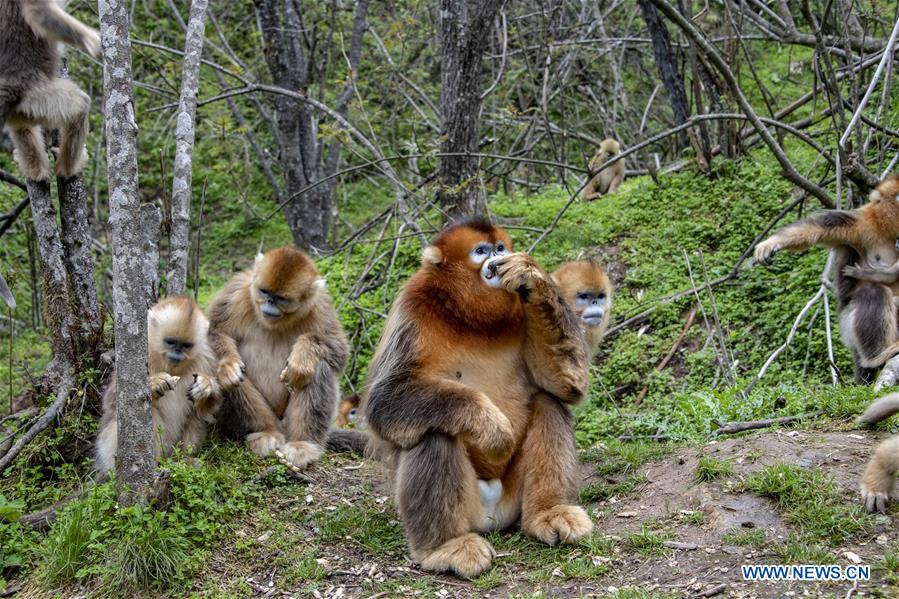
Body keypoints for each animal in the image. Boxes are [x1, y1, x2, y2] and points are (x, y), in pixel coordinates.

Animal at [0, 0, 100, 181]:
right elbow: (37, 10)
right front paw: (93, 42)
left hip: (23, 109)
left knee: (21, 127)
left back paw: (37, 172)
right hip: (41, 99)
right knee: (80, 107)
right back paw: (68, 169)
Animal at [95, 297, 221, 475]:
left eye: (186, 345)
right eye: (170, 342)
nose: (177, 354)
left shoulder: (207, 360)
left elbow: (210, 410)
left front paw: (205, 387)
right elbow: (110, 403)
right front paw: (154, 383)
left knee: (195, 416)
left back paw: (182, 462)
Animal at [208, 247, 349, 470]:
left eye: (281, 298)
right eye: (265, 292)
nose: (269, 303)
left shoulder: (320, 305)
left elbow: (340, 351)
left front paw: (302, 358)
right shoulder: (237, 290)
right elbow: (212, 332)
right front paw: (228, 365)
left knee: (319, 367)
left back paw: (303, 444)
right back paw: (266, 431)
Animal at [362, 219, 592, 578]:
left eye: (500, 249)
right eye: (481, 251)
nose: (495, 260)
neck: (469, 315)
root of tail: (490, 511)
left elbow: (564, 385)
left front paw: (530, 276)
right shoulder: (412, 306)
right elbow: (384, 400)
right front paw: (491, 428)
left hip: (512, 499)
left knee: (548, 403)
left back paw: (549, 512)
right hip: (469, 505)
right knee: (435, 431)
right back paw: (444, 546)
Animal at [754, 176, 899, 384]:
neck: (888, 232)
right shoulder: (862, 223)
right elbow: (816, 228)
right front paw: (770, 243)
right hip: (849, 327)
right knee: (873, 291)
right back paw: (876, 356)